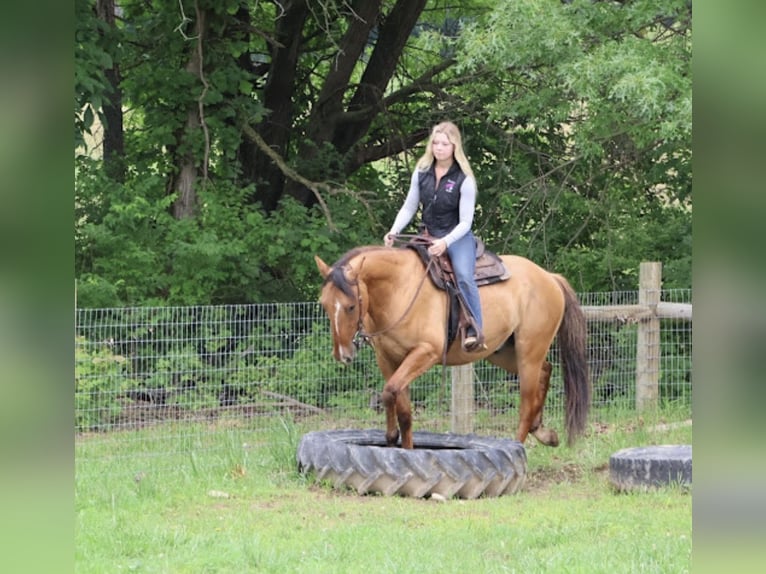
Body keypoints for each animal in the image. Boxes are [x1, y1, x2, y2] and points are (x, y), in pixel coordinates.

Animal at [314, 244, 590, 450]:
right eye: (324, 304)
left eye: (350, 306)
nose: (343, 354)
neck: (400, 289)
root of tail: (549, 277)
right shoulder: (388, 358)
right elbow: (401, 406)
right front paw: (401, 445)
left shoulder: (426, 352)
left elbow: (390, 391)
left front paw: (395, 440)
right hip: (503, 353)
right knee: (546, 370)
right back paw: (543, 432)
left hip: (529, 351)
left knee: (526, 403)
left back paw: (518, 446)